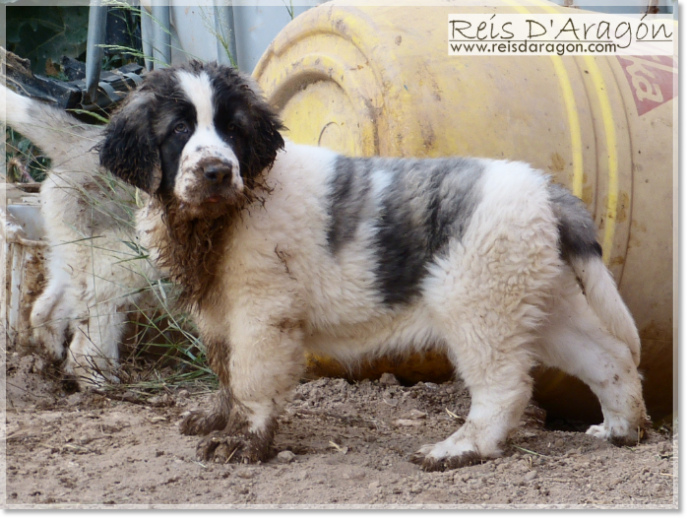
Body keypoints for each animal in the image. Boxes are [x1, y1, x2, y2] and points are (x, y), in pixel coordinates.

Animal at [99, 61, 648, 472]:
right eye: (179, 130)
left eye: (233, 130)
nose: (216, 172)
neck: (224, 214)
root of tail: (547, 189)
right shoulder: (219, 313)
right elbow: (226, 372)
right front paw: (218, 417)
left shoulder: (262, 311)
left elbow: (251, 378)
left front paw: (242, 441)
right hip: (541, 301)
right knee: (610, 357)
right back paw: (622, 428)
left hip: (477, 306)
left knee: (506, 387)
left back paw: (461, 449)